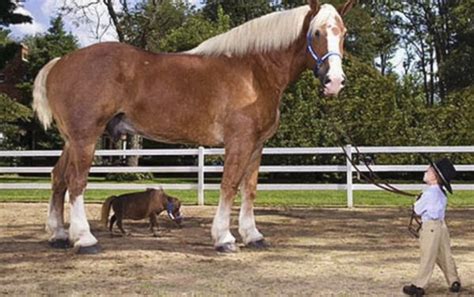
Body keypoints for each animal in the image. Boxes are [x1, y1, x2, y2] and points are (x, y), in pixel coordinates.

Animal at [33, 0, 356, 253]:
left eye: (343, 33)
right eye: (316, 32)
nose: (334, 82)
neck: (253, 72)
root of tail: (60, 62)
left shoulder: (257, 145)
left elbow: (249, 189)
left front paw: (252, 236)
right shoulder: (238, 142)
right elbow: (229, 186)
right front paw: (224, 238)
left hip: (71, 140)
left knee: (58, 178)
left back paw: (58, 235)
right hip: (85, 138)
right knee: (75, 182)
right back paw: (84, 240)